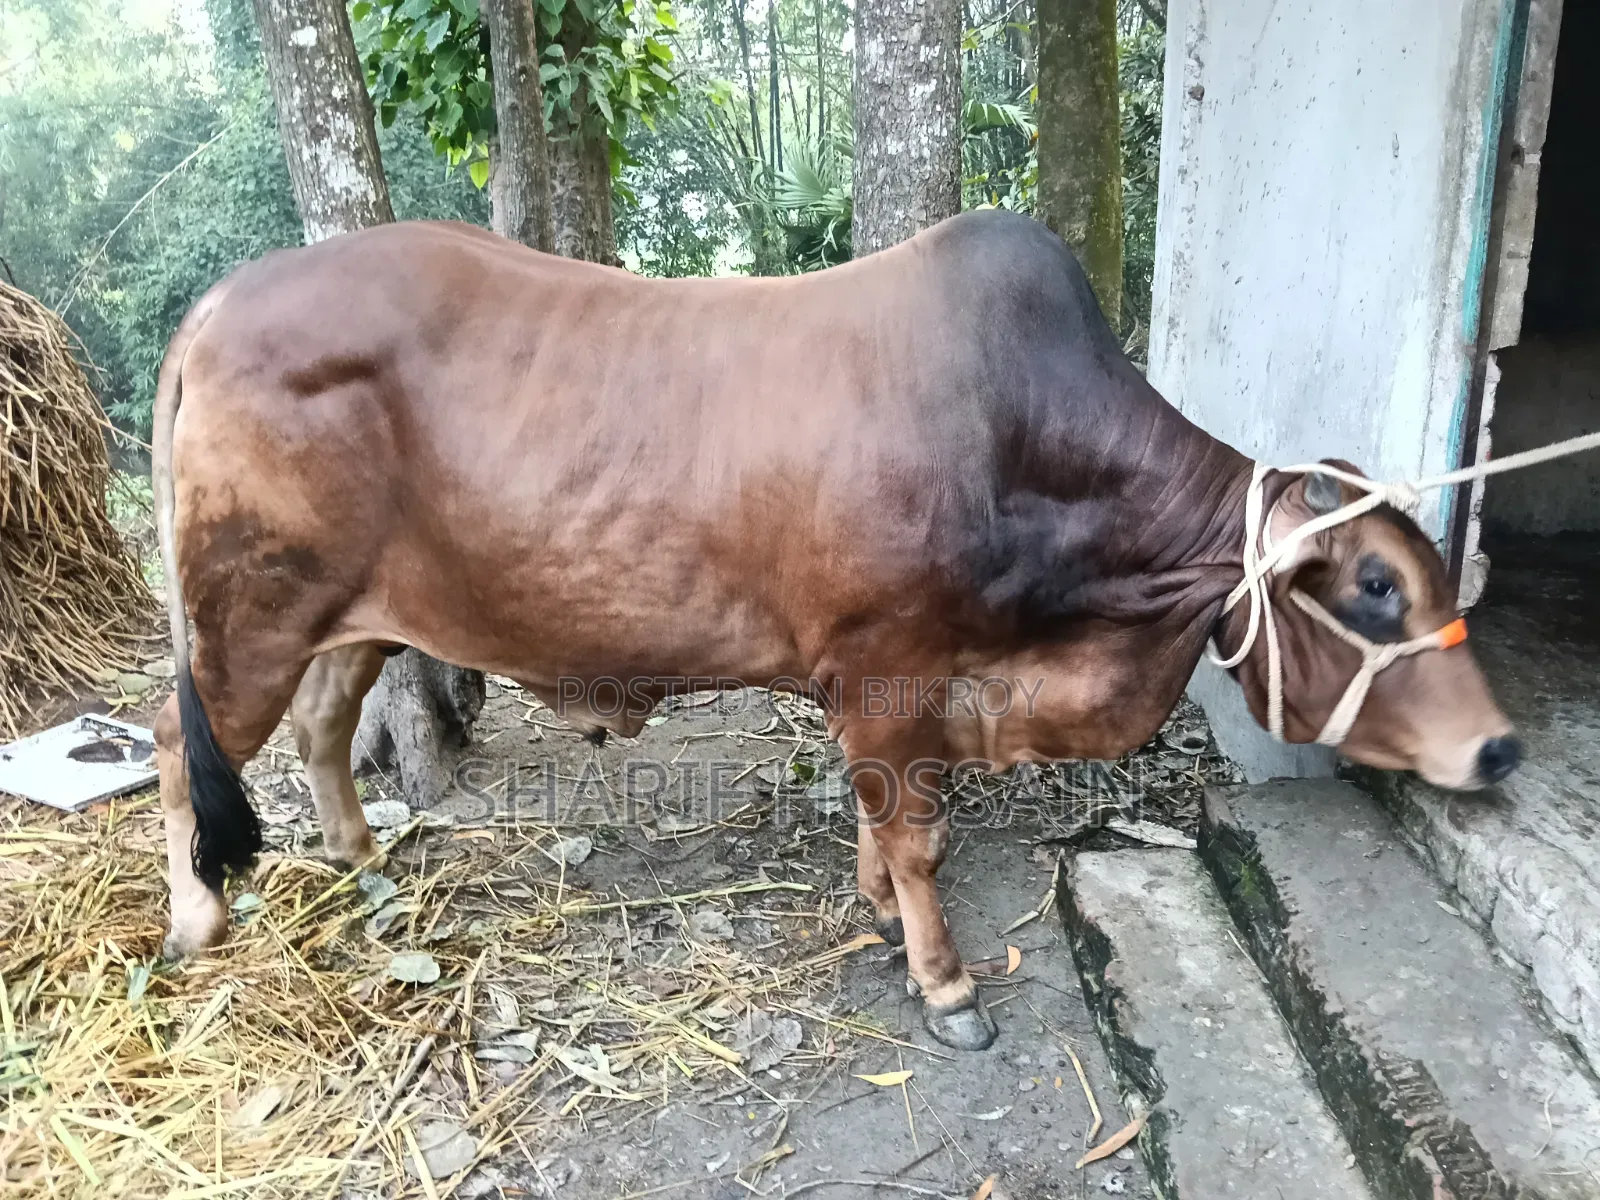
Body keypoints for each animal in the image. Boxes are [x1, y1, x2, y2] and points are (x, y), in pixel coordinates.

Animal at [150, 209, 1517, 1050]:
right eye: (1374, 586)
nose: (1499, 746)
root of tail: (214, 307)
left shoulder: (896, 689)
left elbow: (892, 823)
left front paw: (875, 908)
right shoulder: (887, 669)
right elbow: (915, 835)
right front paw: (945, 983)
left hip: (345, 621)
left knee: (326, 727)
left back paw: (360, 857)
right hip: (243, 622)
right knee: (176, 751)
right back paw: (200, 921)